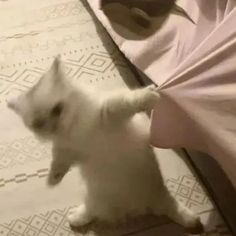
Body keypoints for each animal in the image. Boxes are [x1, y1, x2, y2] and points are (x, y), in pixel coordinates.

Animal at [7, 56, 203, 233]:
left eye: (57, 110)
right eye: (38, 124)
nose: (53, 128)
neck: (74, 131)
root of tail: (140, 206)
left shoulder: (109, 113)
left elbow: (130, 101)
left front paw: (151, 94)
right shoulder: (67, 151)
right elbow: (58, 163)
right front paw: (52, 180)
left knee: (170, 208)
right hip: (96, 198)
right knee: (91, 212)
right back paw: (75, 219)